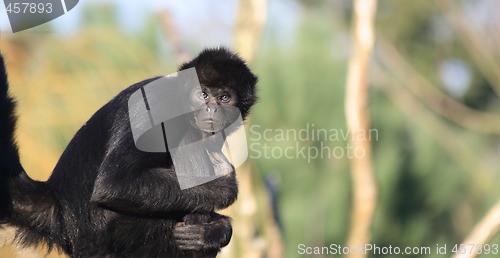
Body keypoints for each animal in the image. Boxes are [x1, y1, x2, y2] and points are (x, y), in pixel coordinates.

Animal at [0, 47, 258, 256]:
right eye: (203, 94)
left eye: (224, 97)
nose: (211, 109)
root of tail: (58, 205)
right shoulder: (160, 105)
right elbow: (114, 184)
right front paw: (224, 189)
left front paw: (216, 231)